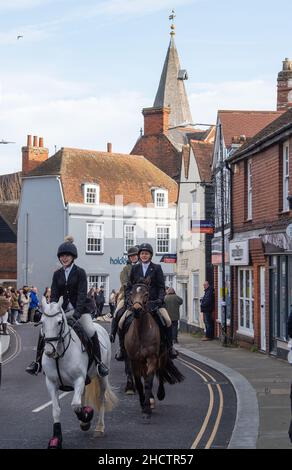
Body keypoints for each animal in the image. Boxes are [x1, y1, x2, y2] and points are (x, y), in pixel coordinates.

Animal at [39, 298, 117, 448]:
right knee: (83, 395)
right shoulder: (51, 383)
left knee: (101, 399)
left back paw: (99, 428)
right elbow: (56, 410)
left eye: (59, 322)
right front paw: (56, 439)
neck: (59, 356)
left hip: (102, 377)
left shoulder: (79, 379)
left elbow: (75, 405)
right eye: (42, 322)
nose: (49, 351)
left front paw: (87, 416)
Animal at [124, 278, 184, 420]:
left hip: (162, 355)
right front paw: (143, 403)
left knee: (160, 372)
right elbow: (139, 383)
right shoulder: (134, 360)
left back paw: (159, 394)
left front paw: (147, 408)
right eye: (131, 294)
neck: (141, 331)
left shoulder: (152, 358)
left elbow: (149, 382)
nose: (137, 310)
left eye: (146, 294)